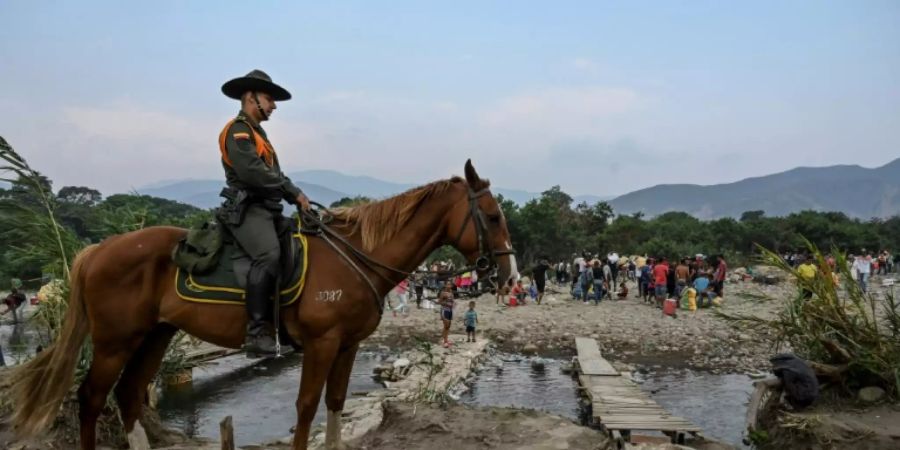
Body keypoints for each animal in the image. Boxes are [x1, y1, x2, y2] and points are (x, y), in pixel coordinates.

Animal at [8, 160, 512, 448]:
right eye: (491, 216)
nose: (507, 277)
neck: (353, 256)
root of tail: (97, 250)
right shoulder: (321, 344)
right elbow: (307, 407)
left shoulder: (347, 346)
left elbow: (335, 403)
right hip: (115, 340)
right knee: (92, 399)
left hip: (154, 336)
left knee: (129, 396)